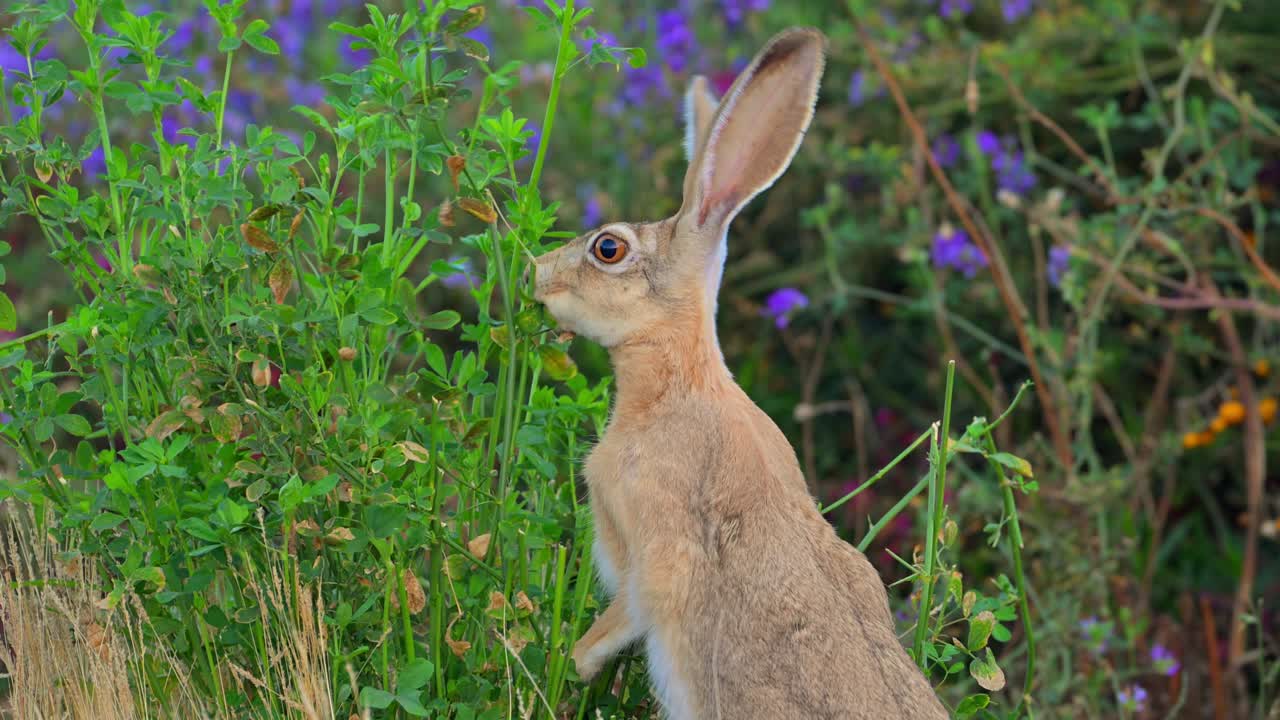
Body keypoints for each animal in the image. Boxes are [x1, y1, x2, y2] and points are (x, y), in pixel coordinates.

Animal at [531, 27, 949, 720]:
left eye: (608, 249)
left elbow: (631, 609)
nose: (536, 274)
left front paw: (573, 662)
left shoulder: (652, 544)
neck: (678, 378)